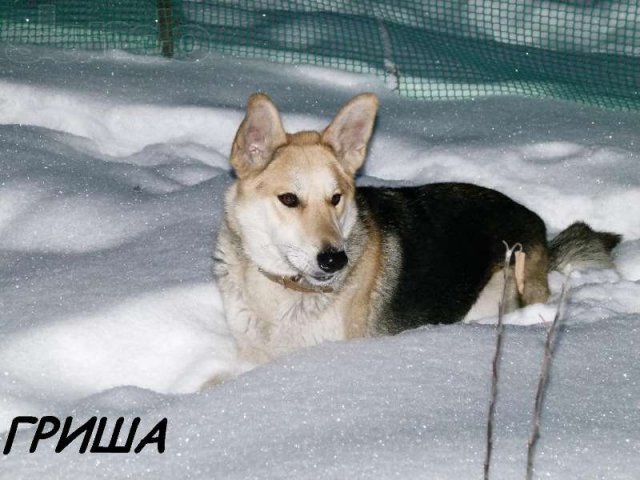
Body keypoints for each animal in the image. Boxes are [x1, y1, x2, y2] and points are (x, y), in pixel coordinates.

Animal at [214, 93, 620, 364]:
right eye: (289, 199)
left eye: (336, 198)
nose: (335, 260)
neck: (283, 287)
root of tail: (537, 225)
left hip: (502, 287)